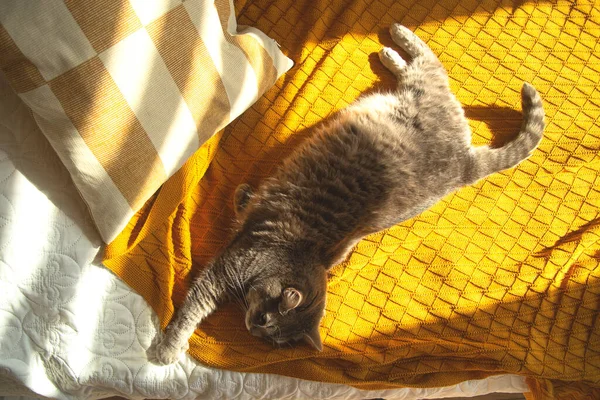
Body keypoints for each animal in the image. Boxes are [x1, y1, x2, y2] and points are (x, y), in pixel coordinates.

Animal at [154, 23, 544, 364]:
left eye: (270, 336)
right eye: (265, 323)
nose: (252, 330)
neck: (297, 257)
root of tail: (464, 164)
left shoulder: (227, 266)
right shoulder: (221, 272)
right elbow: (190, 313)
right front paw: (169, 349)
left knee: (424, 67)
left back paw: (391, 54)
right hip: (425, 90)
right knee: (429, 62)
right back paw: (397, 40)